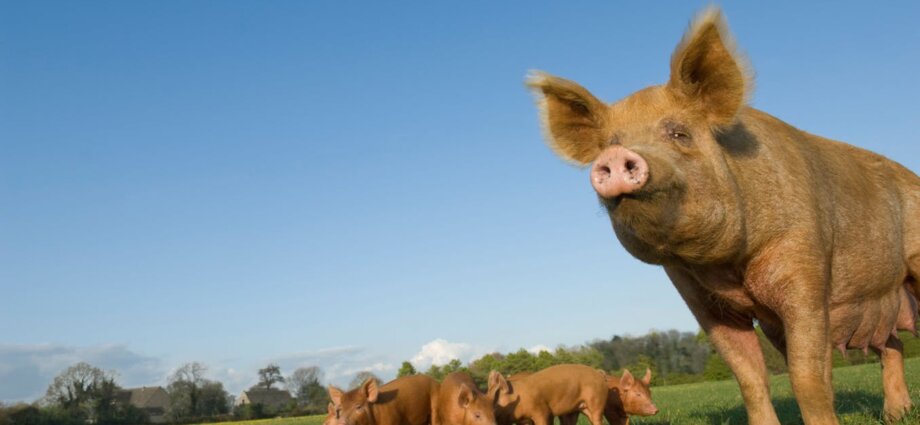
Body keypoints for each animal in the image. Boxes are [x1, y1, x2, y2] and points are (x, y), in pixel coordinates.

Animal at [524, 4, 920, 422]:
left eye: (679, 133)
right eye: (611, 143)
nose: (616, 156)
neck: (730, 265)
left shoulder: (807, 269)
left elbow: (807, 377)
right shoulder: (699, 296)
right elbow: (749, 378)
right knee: (891, 346)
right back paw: (896, 415)